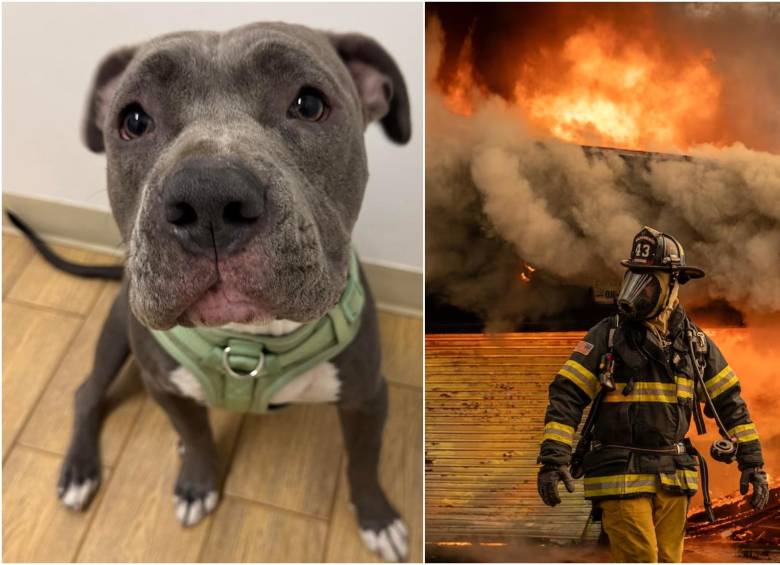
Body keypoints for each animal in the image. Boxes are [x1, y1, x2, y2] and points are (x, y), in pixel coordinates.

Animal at [45, 20, 412, 560]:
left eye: (309, 104)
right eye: (133, 119)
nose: (208, 197)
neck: (248, 339)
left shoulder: (367, 397)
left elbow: (364, 462)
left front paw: (377, 517)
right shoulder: (162, 384)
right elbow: (197, 435)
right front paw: (197, 482)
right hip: (116, 333)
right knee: (87, 393)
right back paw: (79, 470)